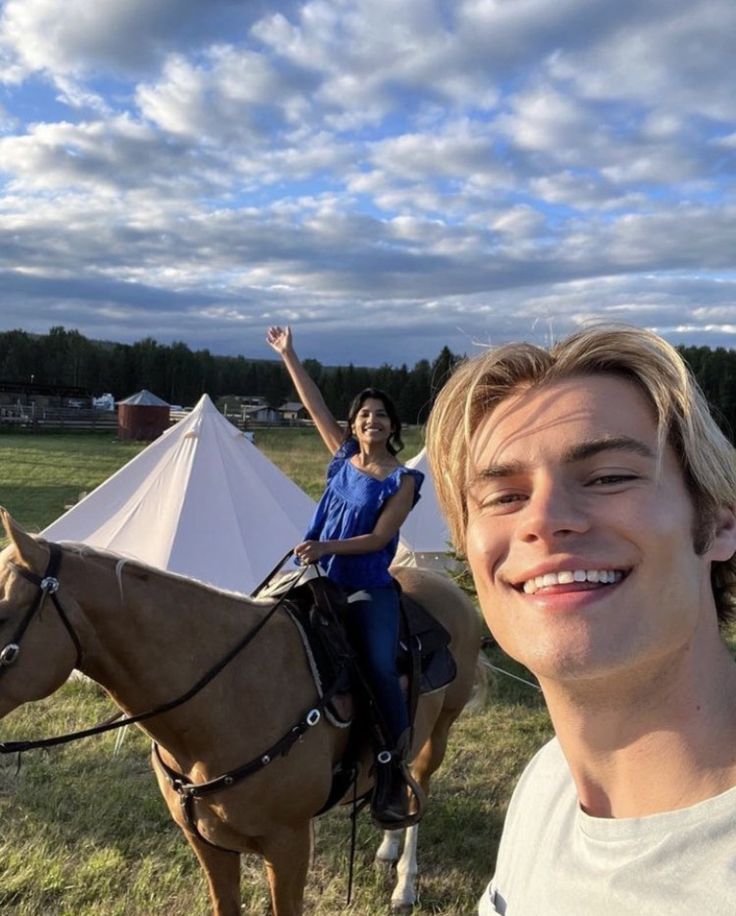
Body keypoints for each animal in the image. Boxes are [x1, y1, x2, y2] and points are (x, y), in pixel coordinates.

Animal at [0, 512, 484, 912]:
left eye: (4, 612)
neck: (223, 703)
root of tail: (441, 584)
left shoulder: (289, 846)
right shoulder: (208, 844)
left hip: (439, 732)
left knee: (419, 788)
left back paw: (405, 884)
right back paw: (387, 845)